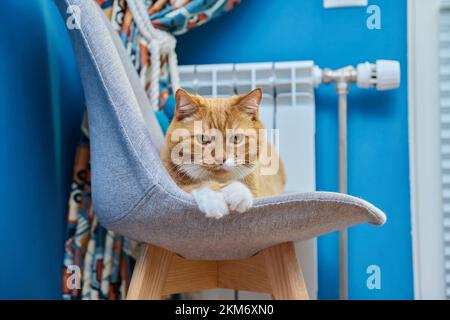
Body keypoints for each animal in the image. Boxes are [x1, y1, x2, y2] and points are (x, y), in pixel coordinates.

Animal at [161, 87, 284, 218]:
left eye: (236, 138)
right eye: (203, 139)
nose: (221, 159)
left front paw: (238, 192)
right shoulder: (176, 188)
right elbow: (197, 185)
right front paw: (214, 198)